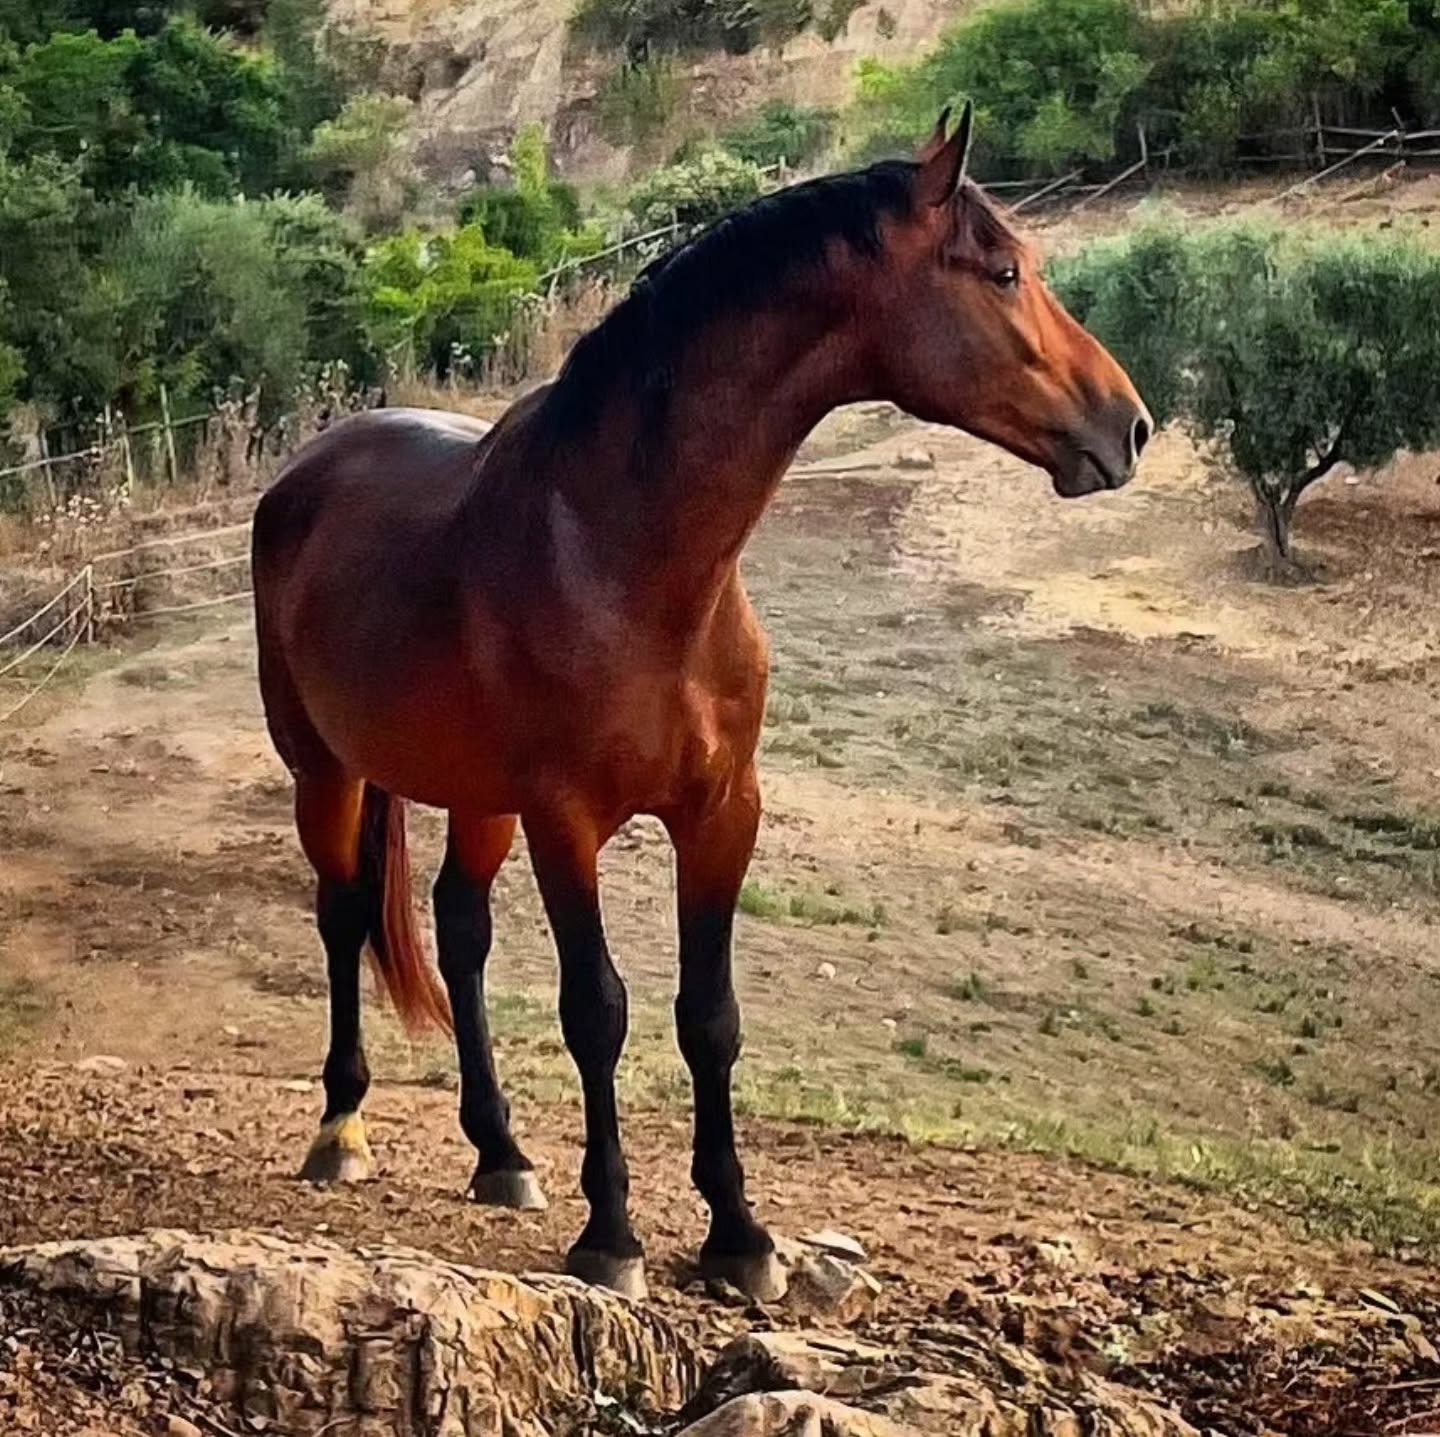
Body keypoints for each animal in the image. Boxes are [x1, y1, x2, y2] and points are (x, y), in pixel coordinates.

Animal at [251, 105, 1151, 1303]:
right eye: (1004, 271)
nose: (1129, 426)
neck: (624, 554)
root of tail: (311, 467)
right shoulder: (568, 823)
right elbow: (598, 1011)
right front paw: (613, 1234)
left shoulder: (723, 813)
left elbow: (707, 1017)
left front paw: (738, 1233)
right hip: (328, 772)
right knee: (345, 915)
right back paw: (342, 1129)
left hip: (476, 799)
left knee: (460, 933)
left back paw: (501, 1151)